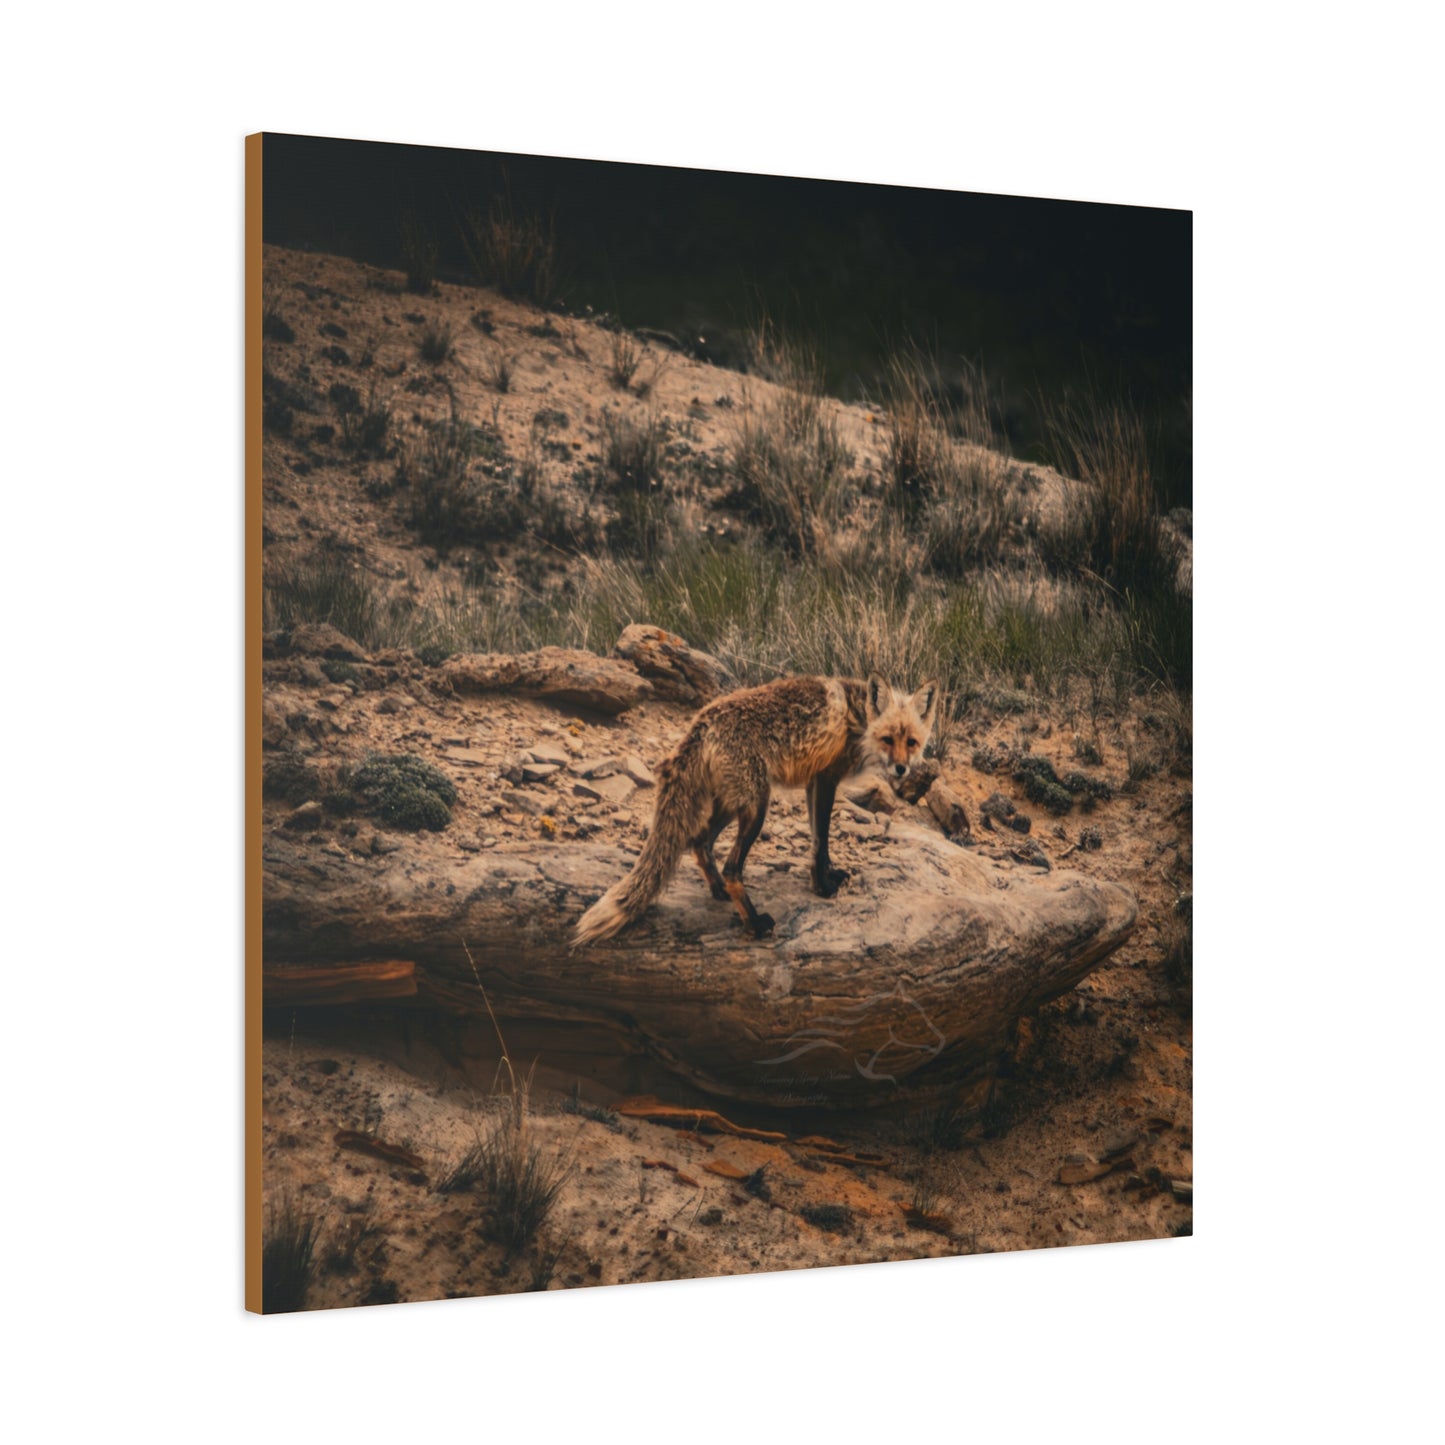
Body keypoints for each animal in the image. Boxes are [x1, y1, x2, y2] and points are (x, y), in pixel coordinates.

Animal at [572, 672, 939, 947]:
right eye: (888, 739)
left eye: (911, 742)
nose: (901, 770)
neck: (858, 720)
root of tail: (701, 722)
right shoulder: (826, 779)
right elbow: (821, 841)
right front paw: (822, 888)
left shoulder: (813, 783)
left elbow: (817, 844)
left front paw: (827, 876)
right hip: (756, 807)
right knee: (732, 867)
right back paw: (754, 923)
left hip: (731, 804)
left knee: (700, 842)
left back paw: (718, 891)